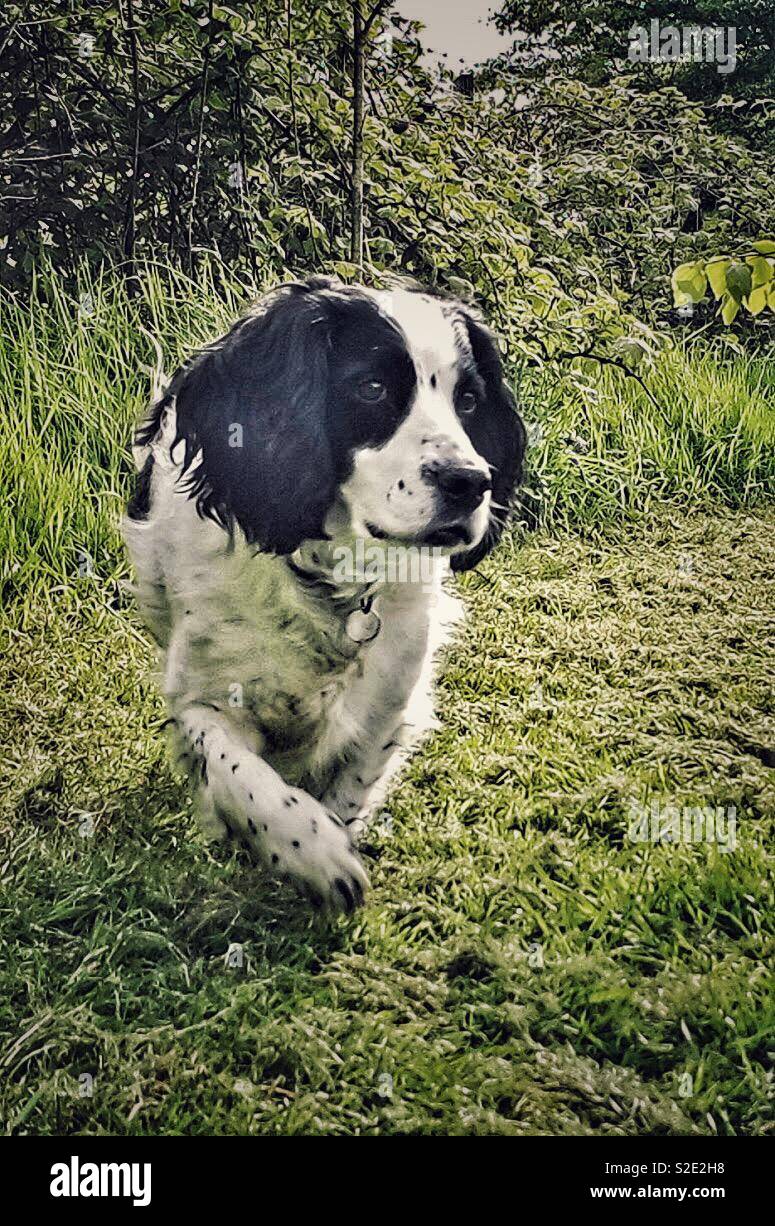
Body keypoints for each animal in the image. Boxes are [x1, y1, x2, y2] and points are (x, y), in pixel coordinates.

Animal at [123, 275, 527, 912]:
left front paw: (332, 832)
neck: (324, 579)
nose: (471, 482)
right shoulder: (200, 702)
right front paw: (309, 848)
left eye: (467, 400)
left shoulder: (384, 706)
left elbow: (350, 787)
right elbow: (241, 776)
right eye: (372, 387)